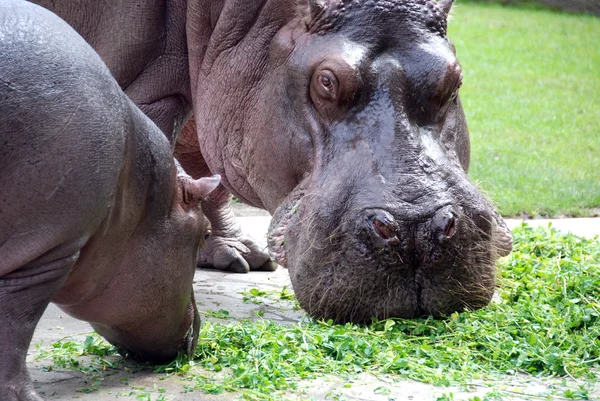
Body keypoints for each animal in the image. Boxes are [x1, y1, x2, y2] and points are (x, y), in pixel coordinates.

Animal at [28, 0, 512, 320]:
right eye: (326, 81)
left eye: (453, 79)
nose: (417, 232)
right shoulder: (143, 90)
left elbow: (207, 173)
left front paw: (236, 254)